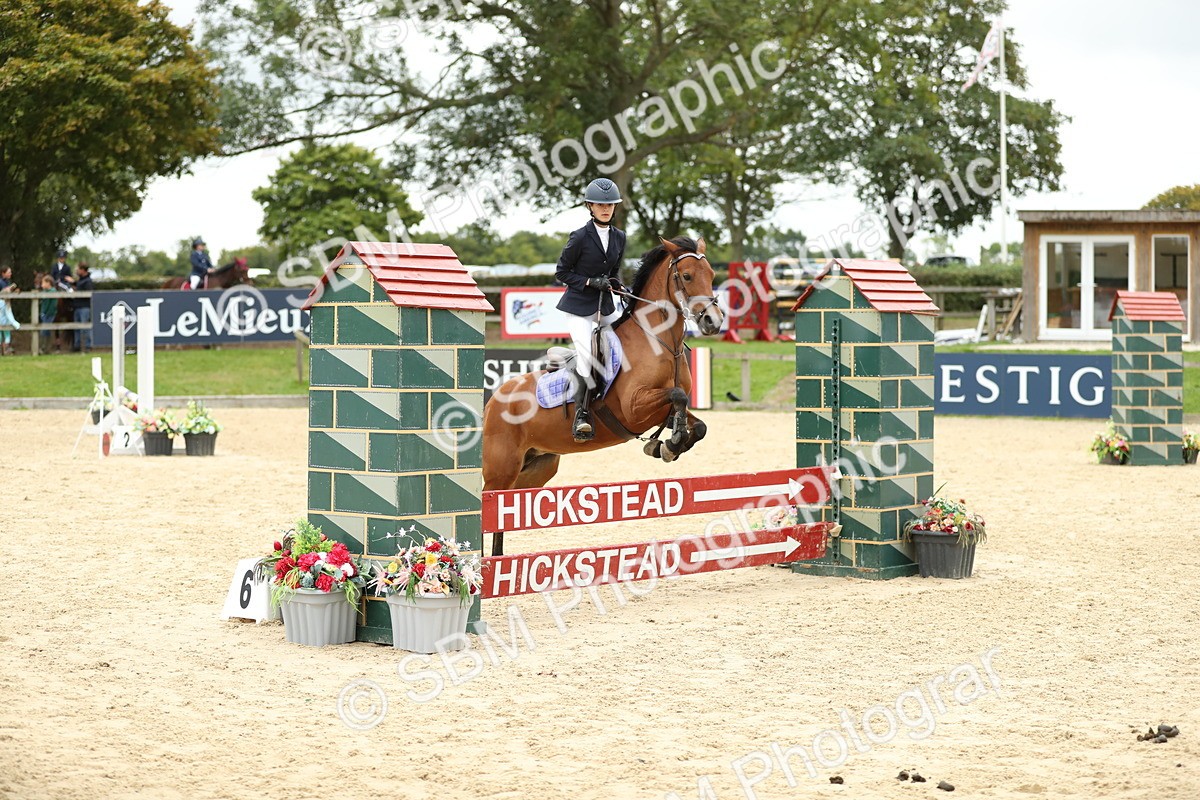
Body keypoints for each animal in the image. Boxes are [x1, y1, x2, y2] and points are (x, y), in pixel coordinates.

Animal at [482, 236, 724, 555]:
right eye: (686, 276)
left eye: (711, 275)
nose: (713, 322)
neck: (659, 341)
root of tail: (494, 400)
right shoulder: (635, 407)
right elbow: (677, 397)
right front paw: (668, 444)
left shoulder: (664, 408)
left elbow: (698, 424)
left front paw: (668, 445)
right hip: (501, 469)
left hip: (536, 468)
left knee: (504, 512)